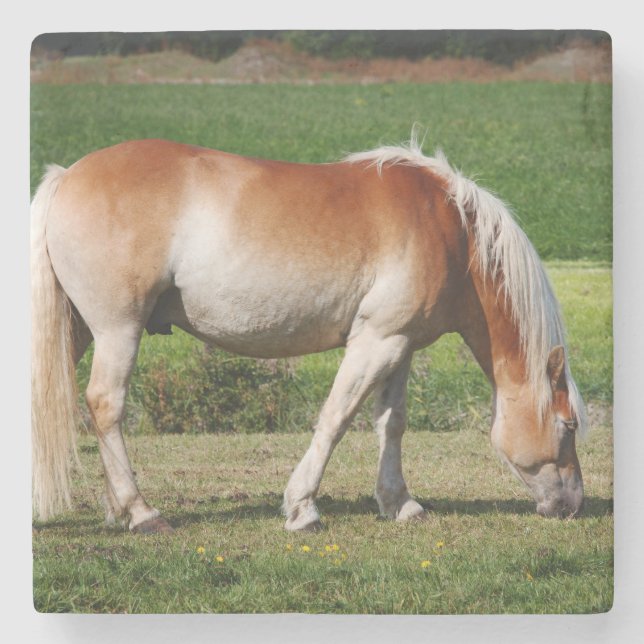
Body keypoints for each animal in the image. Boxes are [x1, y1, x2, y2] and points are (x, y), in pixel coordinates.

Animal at [31, 134, 587, 535]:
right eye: (568, 425)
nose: (574, 504)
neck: (452, 228)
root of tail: (68, 175)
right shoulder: (375, 342)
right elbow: (336, 419)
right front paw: (302, 508)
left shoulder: (401, 345)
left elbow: (392, 423)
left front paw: (400, 504)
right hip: (117, 330)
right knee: (106, 405)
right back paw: (143, 513)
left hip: (81, 331)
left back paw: (117, 510)